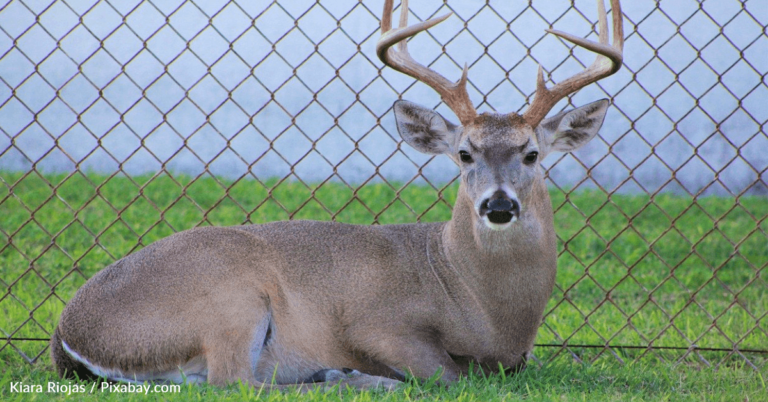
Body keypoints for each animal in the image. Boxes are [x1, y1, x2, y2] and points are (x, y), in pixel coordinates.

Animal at [51, 0, 623, 391]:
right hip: (228, 295)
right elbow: (447, 374)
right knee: (235, 381)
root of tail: (66, 337)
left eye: (532, 154)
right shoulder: (375, 322)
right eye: (464, 153)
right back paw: (346, 378)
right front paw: (367, 373)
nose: (499, 206)